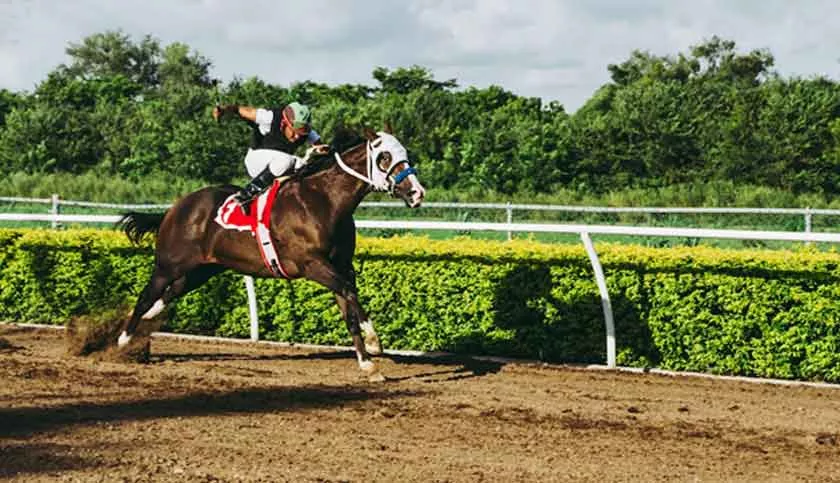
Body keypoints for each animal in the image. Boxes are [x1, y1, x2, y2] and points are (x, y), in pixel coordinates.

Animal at [116, 126, 425, 381]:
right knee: (146, 296)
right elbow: (349, 294)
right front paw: (373, 345)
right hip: (168, 265)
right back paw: (123, 341)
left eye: (405, 154)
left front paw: (368, 363)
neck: (325, 201)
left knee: (168, 294)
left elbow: (349, 308)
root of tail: (174, 208)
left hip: (202, 270)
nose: (417, 193)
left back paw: (144, 325)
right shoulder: (313, 265)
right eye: (385, 156)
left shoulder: (341, 266)